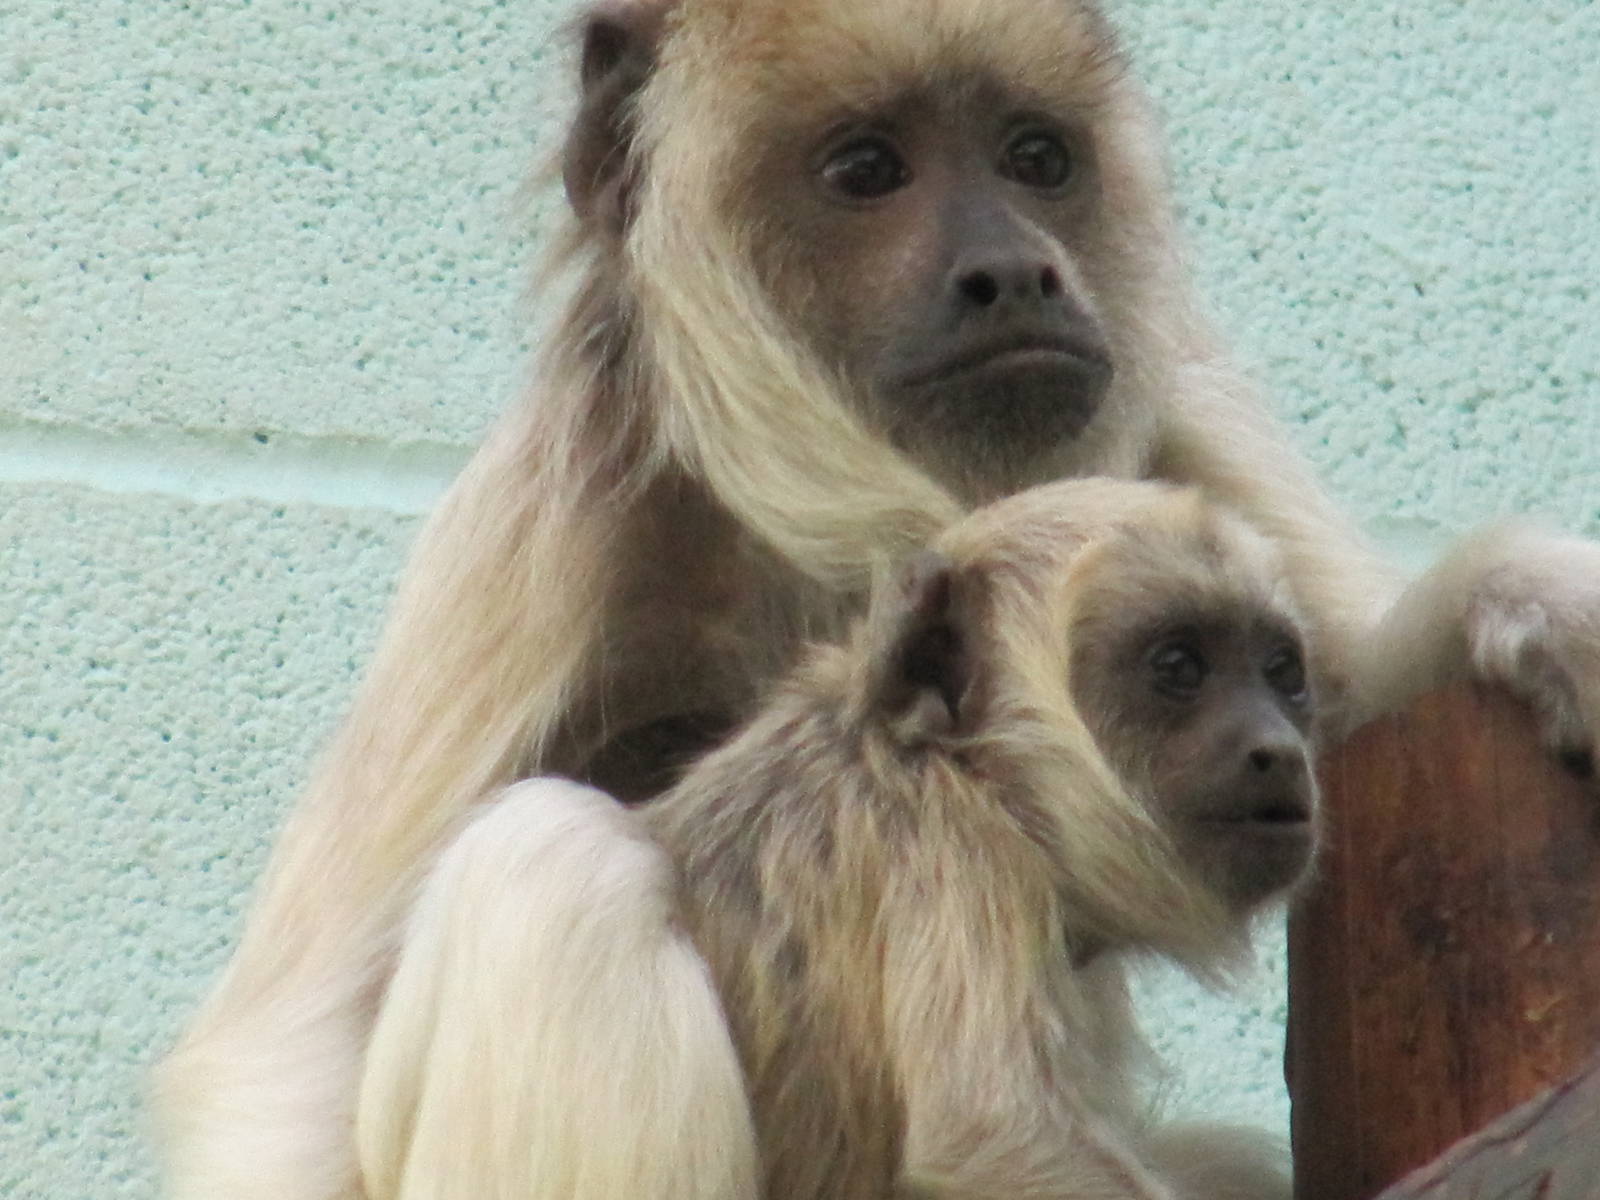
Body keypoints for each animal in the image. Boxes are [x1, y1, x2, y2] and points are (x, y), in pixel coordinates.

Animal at [353, 478, 1317, 1199]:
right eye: (1179, 668)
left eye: (1281, 675)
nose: (1278, 749)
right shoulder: (953, 847)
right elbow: (996, 1140)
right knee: (560, 844)